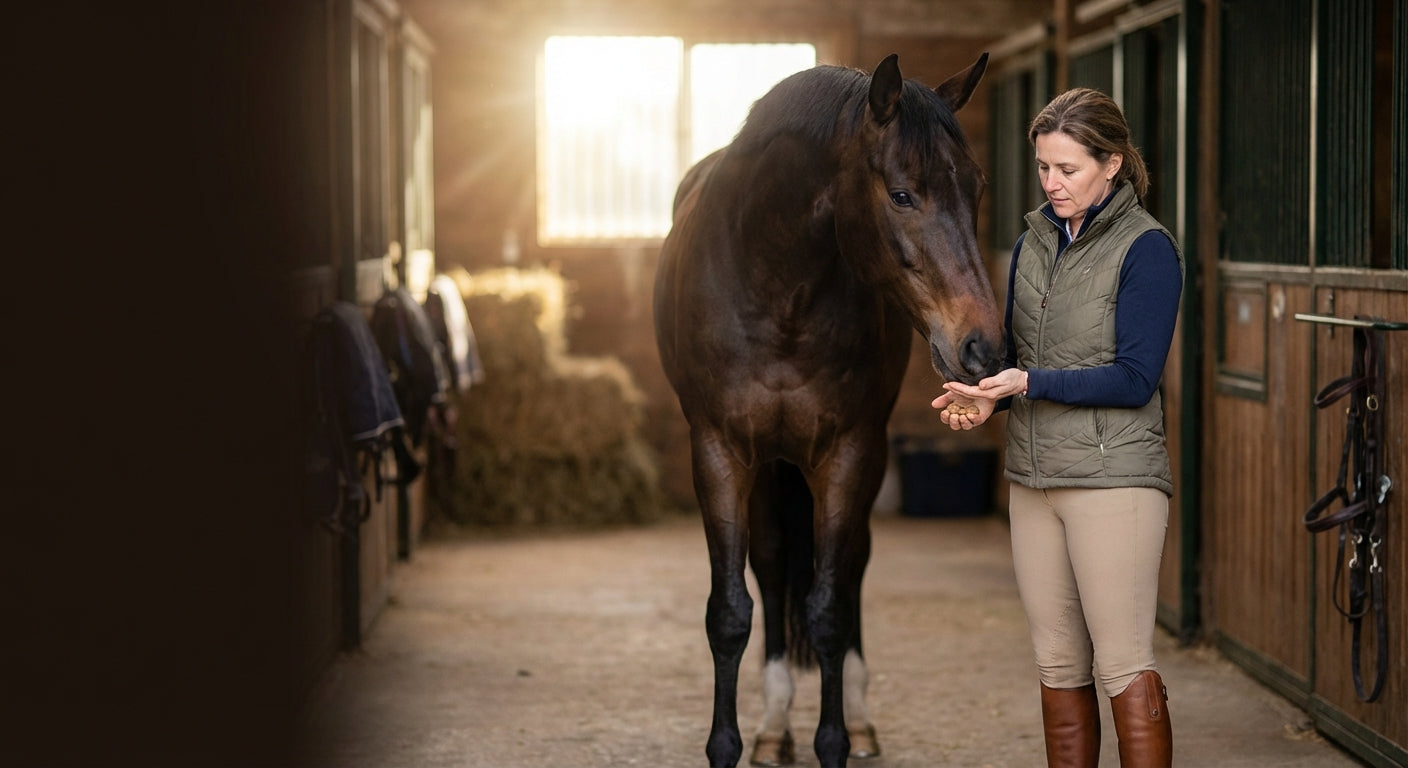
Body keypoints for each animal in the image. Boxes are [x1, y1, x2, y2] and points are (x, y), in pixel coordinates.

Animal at [653, 53, 1003, 767]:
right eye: (902, 194)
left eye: (977, 188)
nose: (981, 346)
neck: (778, 286)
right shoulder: (720, 453)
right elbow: (730, 612)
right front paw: (728, 744)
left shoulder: (849, 452)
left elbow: (830, 610)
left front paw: (838, 739)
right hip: (769, 468)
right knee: (771, 566)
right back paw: (771, 727)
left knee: (850, 569)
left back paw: (858, 721)